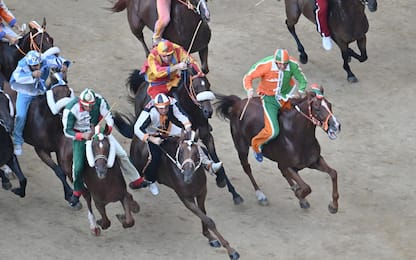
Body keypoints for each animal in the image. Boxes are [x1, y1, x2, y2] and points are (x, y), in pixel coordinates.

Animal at [130, 132, 240, 260]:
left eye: (196, 153)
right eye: (181, 152)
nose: (187, 176)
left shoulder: (202, 192)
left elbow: (204, 215)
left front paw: (210, 237)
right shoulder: (186, 199)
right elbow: (208, 219)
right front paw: (231, 250)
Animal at [214, 87, 342, 213]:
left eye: (330, 105)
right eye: (317, 108)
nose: (336, 126)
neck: (297, 136)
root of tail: (238, 103)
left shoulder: (314, 161)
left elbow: (333, 173)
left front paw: (333, 206)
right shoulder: (287, 166)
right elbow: (306, 187)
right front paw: (299, 194)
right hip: (241, 147)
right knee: (247, 168)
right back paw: (261, 196)